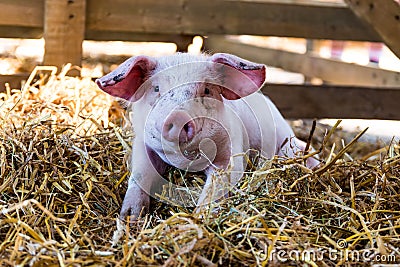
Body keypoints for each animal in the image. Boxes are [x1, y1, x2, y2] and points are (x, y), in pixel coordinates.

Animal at [95, 52, 318, 222]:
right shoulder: (142, 146)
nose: (178, 116)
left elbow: (217, 186)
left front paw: (197, 219)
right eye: (156, 89)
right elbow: (140, 174)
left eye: (208, 90)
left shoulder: (231, 153)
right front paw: (129, 218)